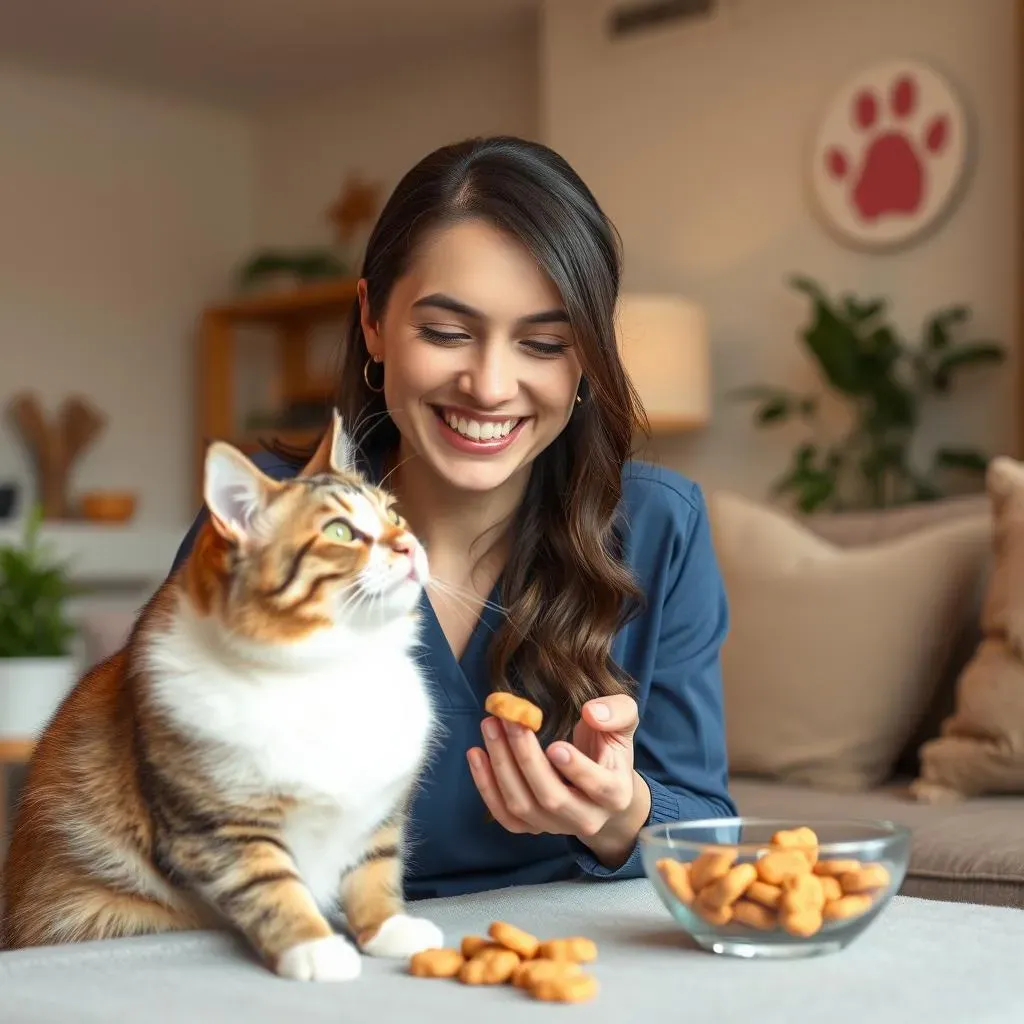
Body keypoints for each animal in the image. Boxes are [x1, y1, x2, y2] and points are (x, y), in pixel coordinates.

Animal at [2, 411, 446, 978]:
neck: (334, 666)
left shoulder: (376, 813)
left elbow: (374, 870)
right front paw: (314, 946)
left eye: (394, 515)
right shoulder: (220, 825)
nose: (409, 545)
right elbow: (273, 886)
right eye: (340, 532)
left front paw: (388, 927)